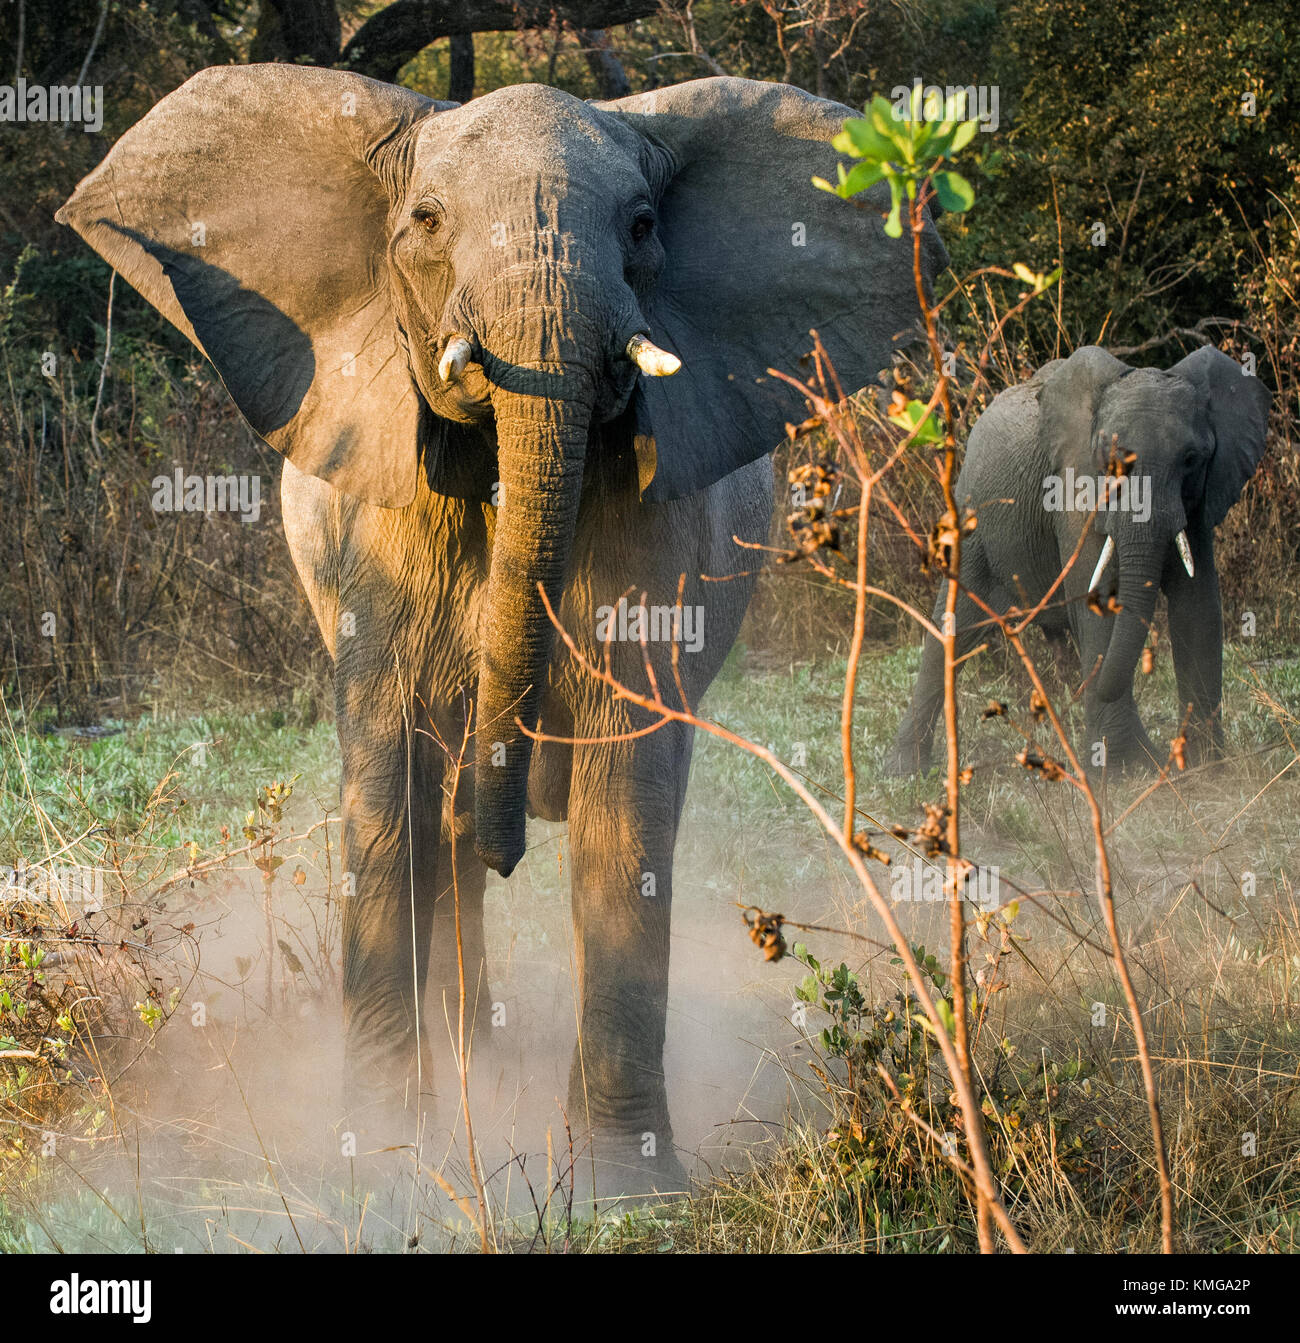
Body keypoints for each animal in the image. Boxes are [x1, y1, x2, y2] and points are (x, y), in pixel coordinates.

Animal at [61, 68, 945, 1192]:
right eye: (428, 222)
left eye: (643, 224)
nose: (514, 828)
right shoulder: (379, 533)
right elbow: (387, 784)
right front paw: (383, 1162)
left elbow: (626, 795)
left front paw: (621, 1186)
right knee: (439, 835)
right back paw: (467, 1053)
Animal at [880, 349, 1267, 778]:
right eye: (1109, 461)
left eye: (1191, 459)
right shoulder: (1074, 489)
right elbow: (1095, 599)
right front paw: (1124, 770)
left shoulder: (1200, 500)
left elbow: (1198, 608)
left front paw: (1206, 766)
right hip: (972, 516)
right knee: (952, 630)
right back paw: (904, 771)